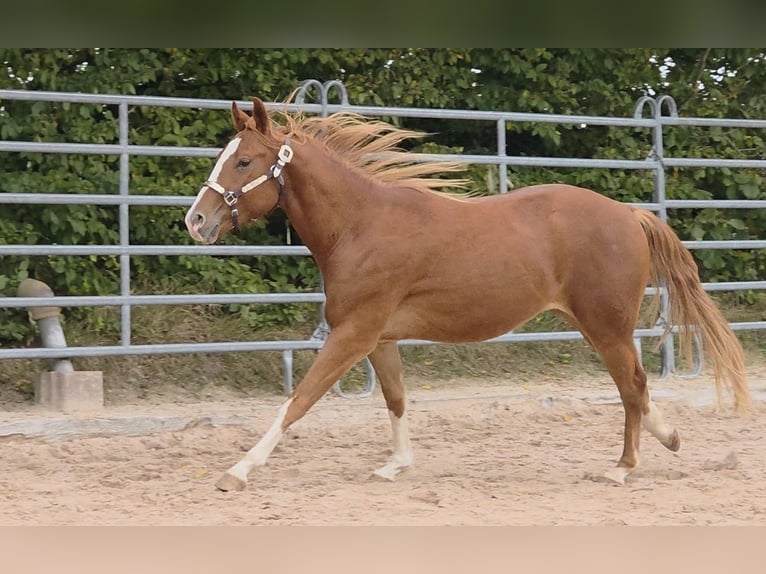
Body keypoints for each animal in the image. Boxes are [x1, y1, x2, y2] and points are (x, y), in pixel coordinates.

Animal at [184, 97, 750, 492]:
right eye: (224, 157)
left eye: (244, 162)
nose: (196, 221)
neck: (360, 227)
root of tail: (629, 215)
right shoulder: (378, 338)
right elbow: (395, 398)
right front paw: (395, 465)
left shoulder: (352, 334)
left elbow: (298, 400)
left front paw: (238, 470)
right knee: (637, 390)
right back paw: (667, 438)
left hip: (606, 325)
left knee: (632, 386)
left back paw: (623, 467)